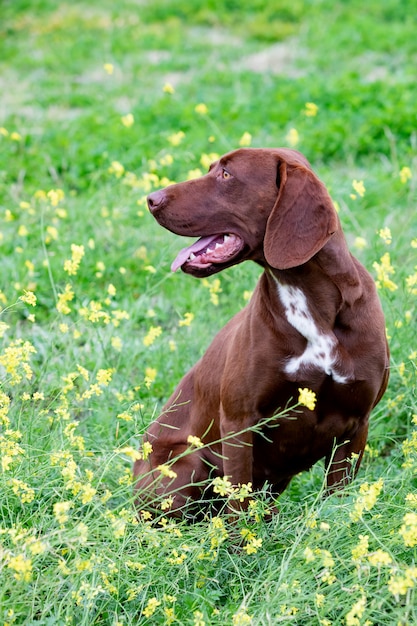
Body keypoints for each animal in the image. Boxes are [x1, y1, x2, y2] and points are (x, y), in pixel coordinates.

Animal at [134, 146, 390, 516]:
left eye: (226, 174)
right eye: (211, 168)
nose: (152, 198)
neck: (309, 300)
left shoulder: (357, 424)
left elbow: (336, 503)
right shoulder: (239, 421)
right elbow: (238, 502)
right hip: (187, 465)